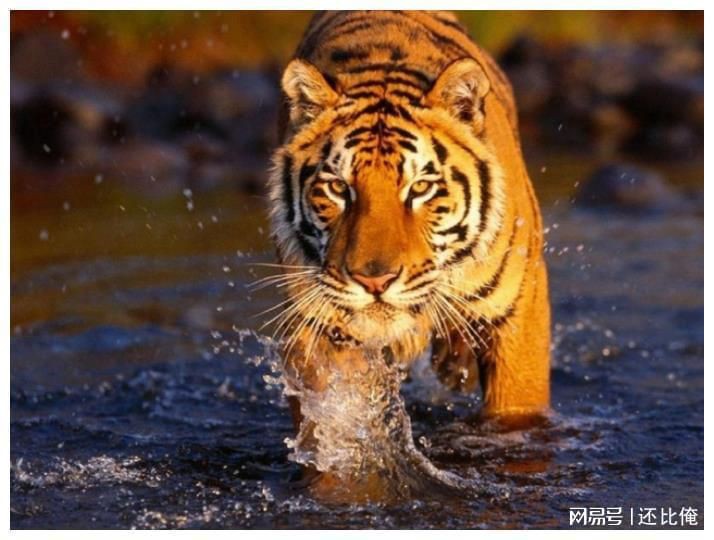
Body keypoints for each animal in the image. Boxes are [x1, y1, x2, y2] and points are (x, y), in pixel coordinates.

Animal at [265, 10, 551, 491]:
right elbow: (331, 425)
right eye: (338, 188)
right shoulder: (316, 325)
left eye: (420, 188)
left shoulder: (518, 309)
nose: (374, 280)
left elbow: (515, 414)